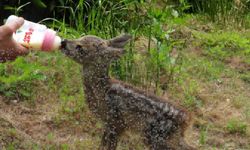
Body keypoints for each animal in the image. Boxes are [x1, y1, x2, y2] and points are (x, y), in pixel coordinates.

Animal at [60, 34, 195, 149]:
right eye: (80, 37)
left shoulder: (116, 122)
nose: (63, 42)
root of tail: (186, 120)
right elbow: (101, 146)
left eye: (80, 47)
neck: (102, 91)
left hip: (156, 137)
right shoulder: (108, 124)